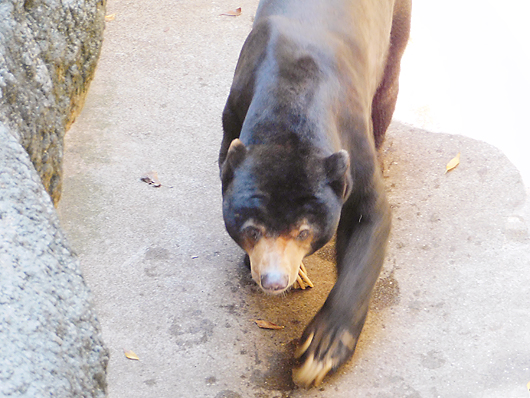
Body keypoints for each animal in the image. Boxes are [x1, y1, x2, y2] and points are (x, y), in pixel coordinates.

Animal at [217, 0, 410, 388]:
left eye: (304, 231)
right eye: (252, 230)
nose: (274, 281)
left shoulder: (352, 135)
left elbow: (371, 217)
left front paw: (319, 352)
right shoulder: (235, 109)